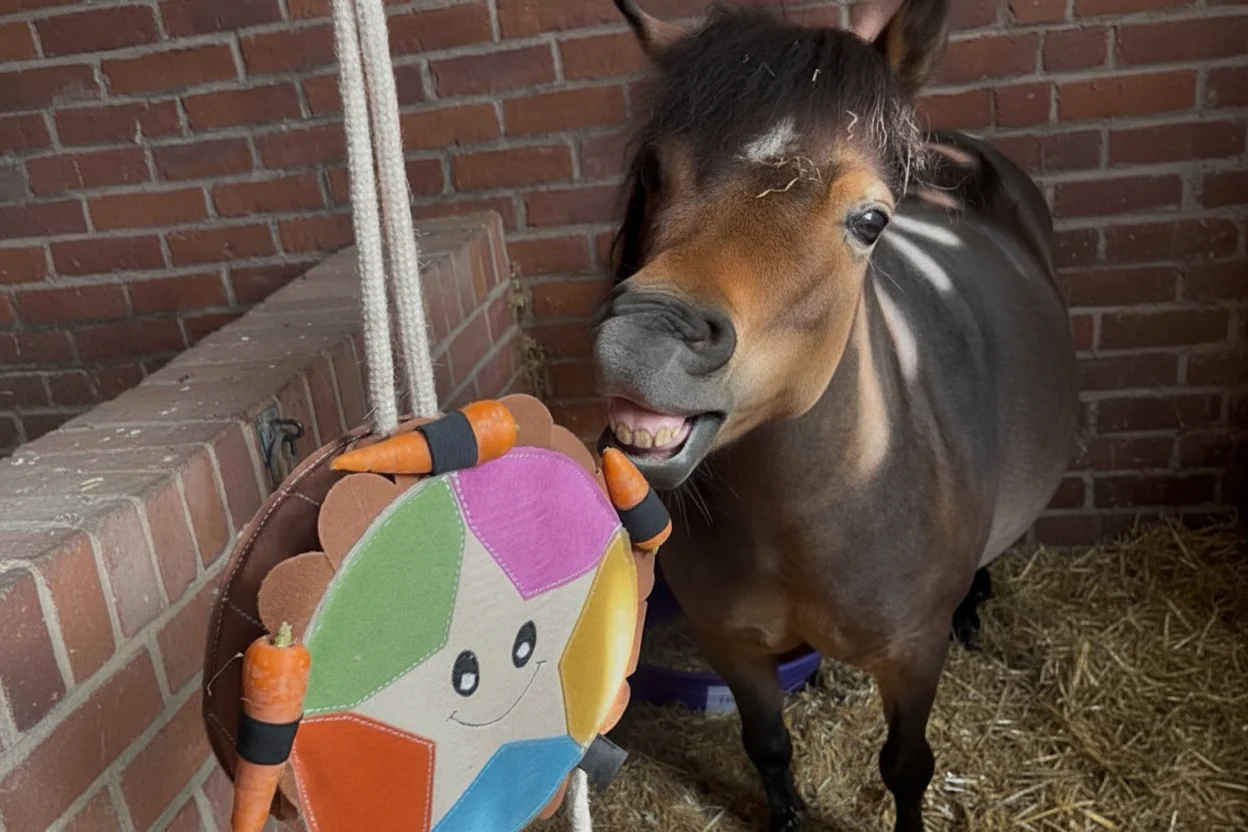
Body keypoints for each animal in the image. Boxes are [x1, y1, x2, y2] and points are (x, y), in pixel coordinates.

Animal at [590, 1, 1079, 830]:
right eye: (654, 172)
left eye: (872, 219)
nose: (642, 339)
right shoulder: (733, 646)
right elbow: (768, 746)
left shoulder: (913, 656)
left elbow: (906, 767)